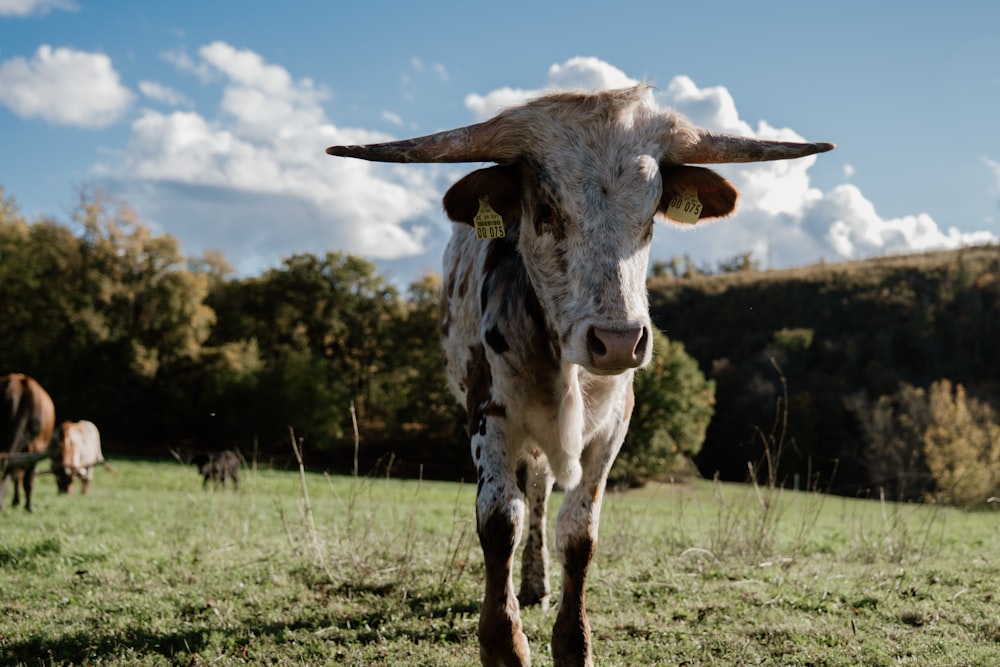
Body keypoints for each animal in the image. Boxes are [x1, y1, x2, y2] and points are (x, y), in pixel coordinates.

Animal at [324, 85, 832, 667]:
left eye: (652, 213)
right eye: (545, 208)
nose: (618, 341)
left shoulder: (615, 424)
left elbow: (579, 531)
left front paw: (572, 640)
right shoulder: (487, 411)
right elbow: (499, 518)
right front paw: (503, 641)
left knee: (543, 493)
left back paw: (537, 585)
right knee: (528, 496)